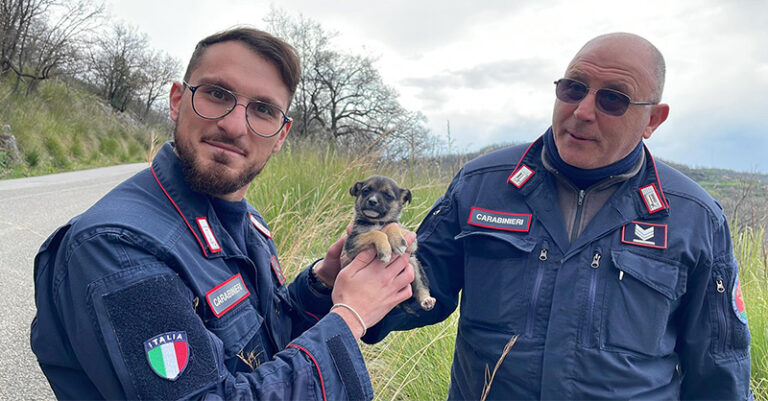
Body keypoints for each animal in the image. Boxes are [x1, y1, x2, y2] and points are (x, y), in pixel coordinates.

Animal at [344, 174, 436, 310]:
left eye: (388, 195)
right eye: (365, 191)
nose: (372, 201)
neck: (377, 222)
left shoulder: (412, 242)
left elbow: (393, 225)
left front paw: (397, 242)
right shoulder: (351, 244)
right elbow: (377, 233)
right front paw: (385, 250)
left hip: (415, 265)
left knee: (421, 286)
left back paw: (427, 300)